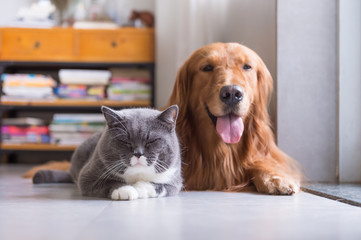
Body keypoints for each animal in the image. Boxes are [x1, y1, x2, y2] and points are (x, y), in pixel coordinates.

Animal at [32, 105, 181, 201]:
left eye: (152, 140)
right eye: (125, 141)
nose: (138, 153)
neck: (136, 175)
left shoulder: (175, 181)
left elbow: (161, 186)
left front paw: (140, 188)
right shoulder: (87, 176)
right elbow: (110, 182)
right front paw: (125, 190)